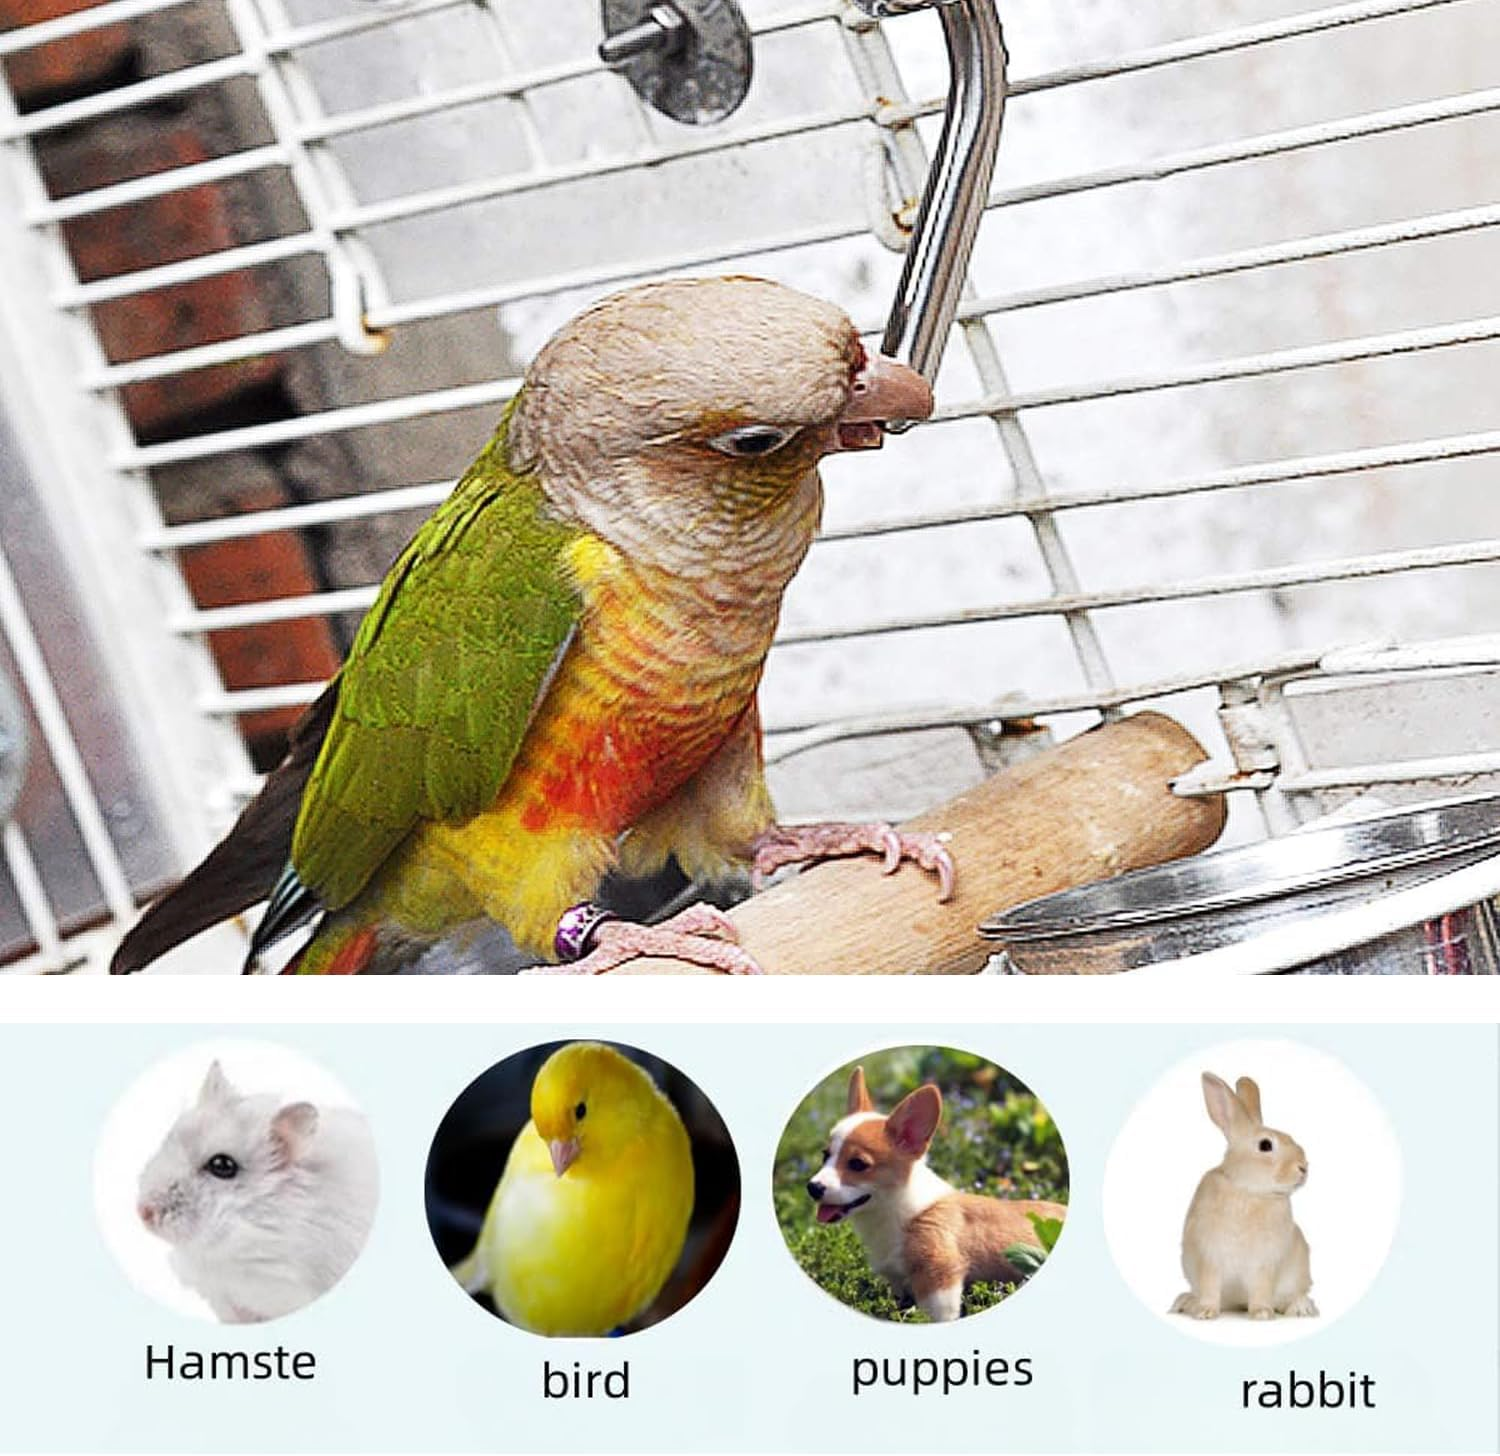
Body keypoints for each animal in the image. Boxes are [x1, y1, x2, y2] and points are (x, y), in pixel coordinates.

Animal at [1169, 1072, 1318, 1322]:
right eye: (1265, 1145)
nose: (1303, 1168)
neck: (1247, 1189)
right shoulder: (1210, 1258)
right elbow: (1210, 1287)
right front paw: (1205, 1312)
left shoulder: (1263, 1264)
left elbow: (1261, 1289)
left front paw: (1262, 1313)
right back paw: (1186, 1302)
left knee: (1294, 1294)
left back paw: (1300, 1308)